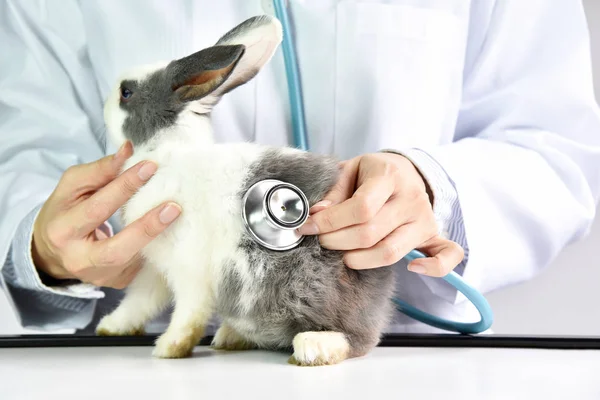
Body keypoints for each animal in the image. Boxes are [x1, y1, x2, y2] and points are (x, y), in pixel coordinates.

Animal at [97, 14, 398, 366]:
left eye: (126, 92)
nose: (104, 104)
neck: (166, 151)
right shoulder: (156, 266)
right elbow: (140, 300)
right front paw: (111, 327)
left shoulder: (189, 266)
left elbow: (188, 314)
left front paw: (168, 348)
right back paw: (231, 337)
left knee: (359, 340)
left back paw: (312, 346)